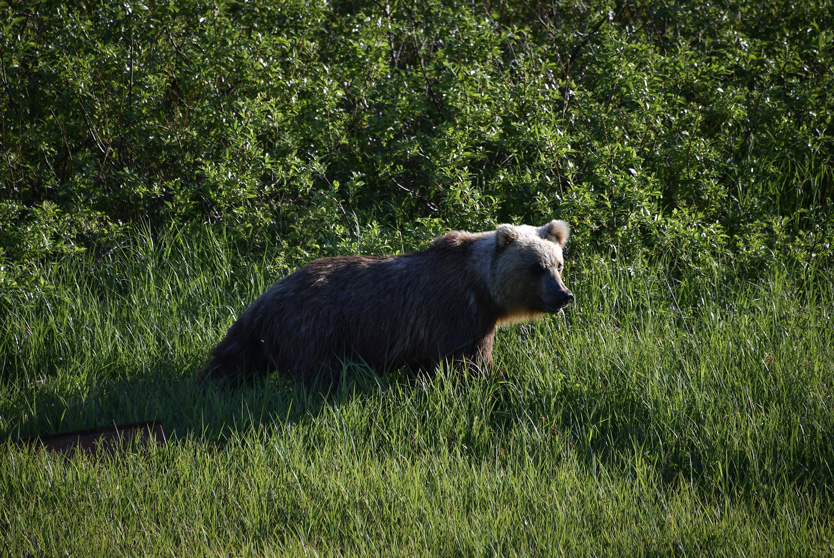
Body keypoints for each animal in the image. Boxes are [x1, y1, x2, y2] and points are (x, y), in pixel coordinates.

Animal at [202, 220, 572, 386]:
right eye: (535, 267)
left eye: (558, 264)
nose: (563, 295)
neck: (482, 288)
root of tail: (266, 297)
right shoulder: (458, 313)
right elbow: (469, 361)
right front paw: (496, 378)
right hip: (315, 328)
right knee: (316, 372)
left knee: (235, 355)